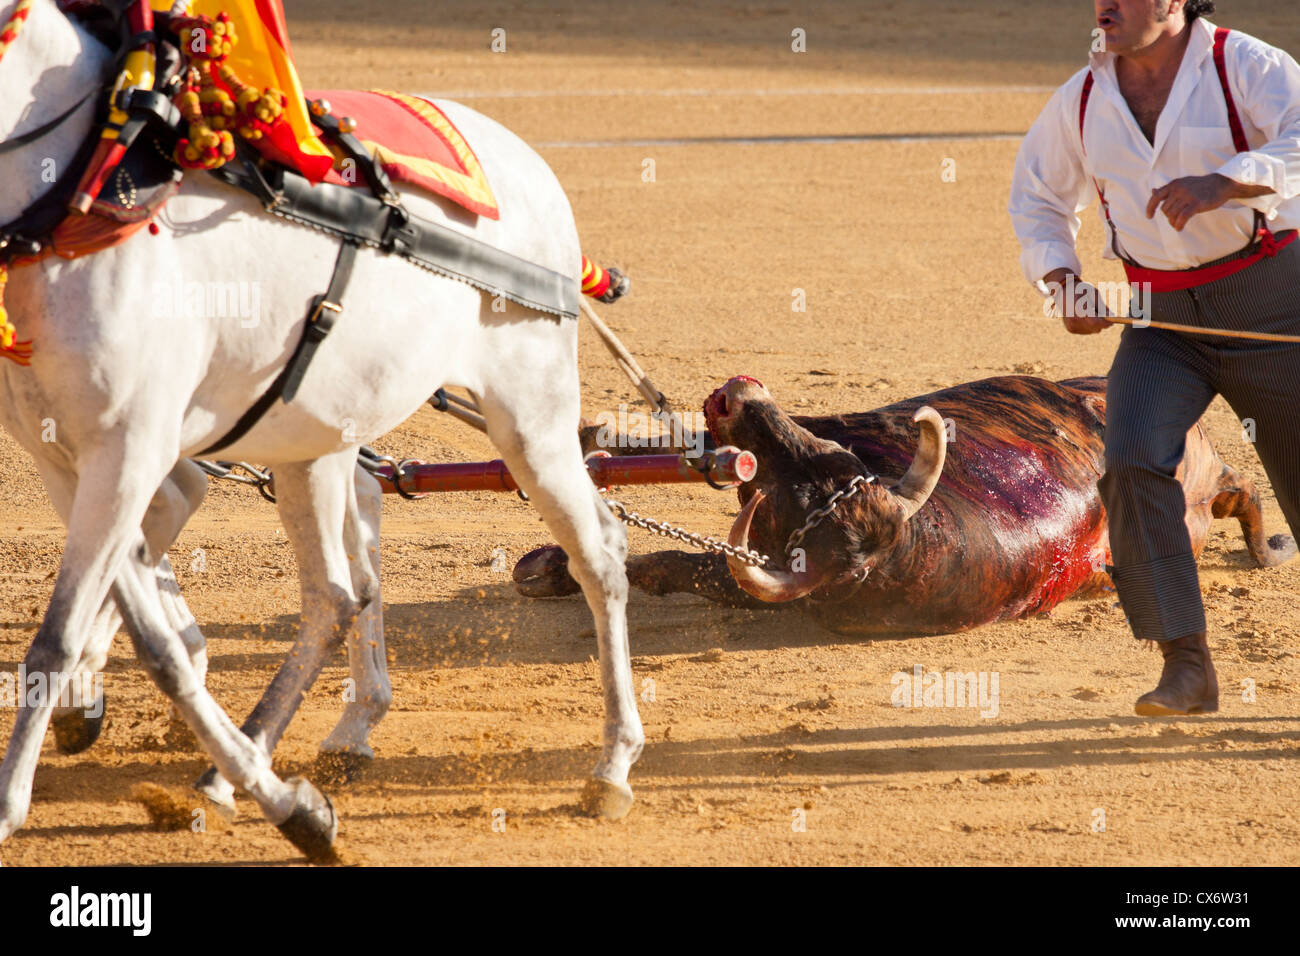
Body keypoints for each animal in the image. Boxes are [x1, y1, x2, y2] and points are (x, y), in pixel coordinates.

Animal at [0, 0, 644, 858]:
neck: (80, 184)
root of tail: (527, 162)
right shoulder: (66, 459)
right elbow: (149, 636)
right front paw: (272, 792)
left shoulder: (130, 448)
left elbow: (67, 630)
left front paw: (11, 799)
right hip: (316, 440)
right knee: (339, 592)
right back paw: (258, 763)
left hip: (531, 417)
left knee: (597, 552)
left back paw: (613, 764)